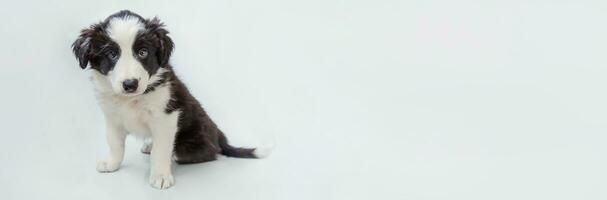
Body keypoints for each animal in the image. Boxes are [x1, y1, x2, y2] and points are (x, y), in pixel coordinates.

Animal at [72, 10, 270, 189]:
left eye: (143, 52)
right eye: (112, 54)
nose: (130, 84)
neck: (132, 99)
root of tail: (219, 135)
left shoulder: (166, 118)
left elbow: (160, 151)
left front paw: (160, 176)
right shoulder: (113, 118)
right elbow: (115, 144)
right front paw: (112, 163)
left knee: (205, 153)